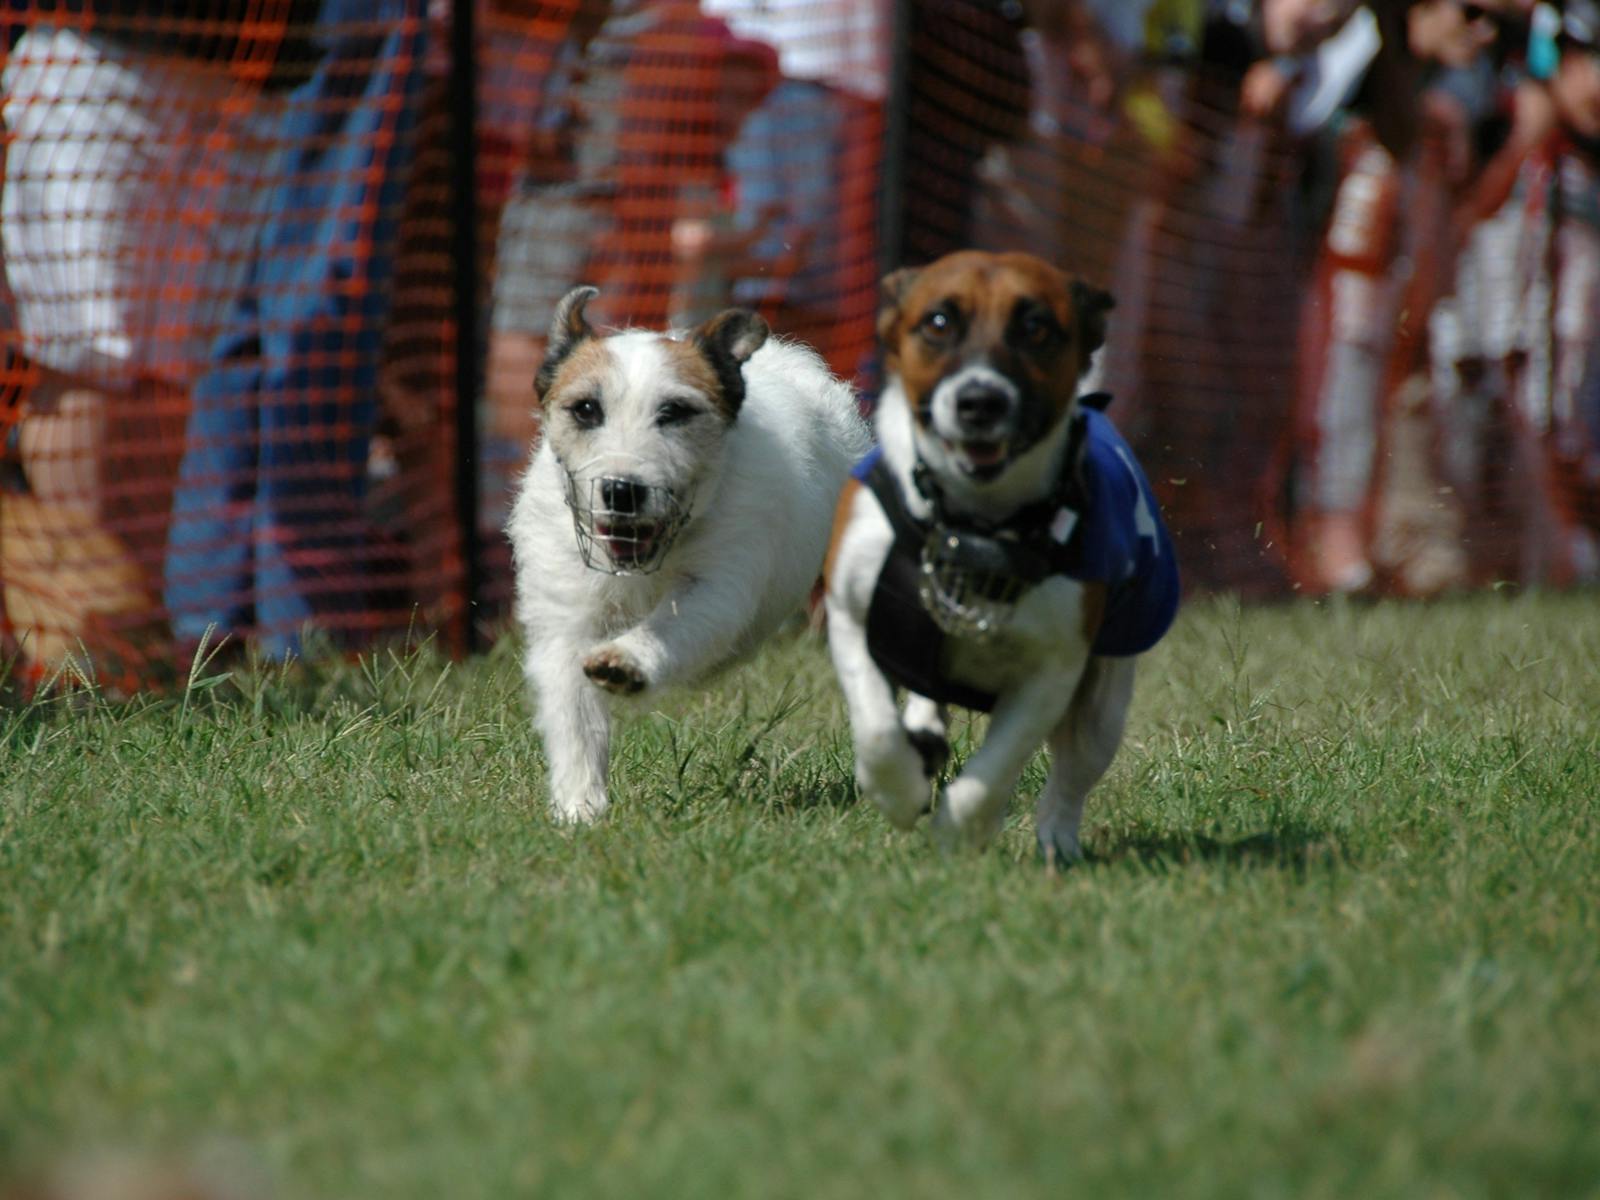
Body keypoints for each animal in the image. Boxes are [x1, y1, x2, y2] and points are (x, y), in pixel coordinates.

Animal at [825, 251, 1177, 864]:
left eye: (1036, 328)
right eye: (938, 322)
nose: (979, 401)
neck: (973, 525)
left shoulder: (1052, 671)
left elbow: (995, 769)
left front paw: (960, 830)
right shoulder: (849, 613)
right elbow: (876, 728)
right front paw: (898, 792)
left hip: (1104, 703)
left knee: (1075, 772)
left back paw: (1058, 843)